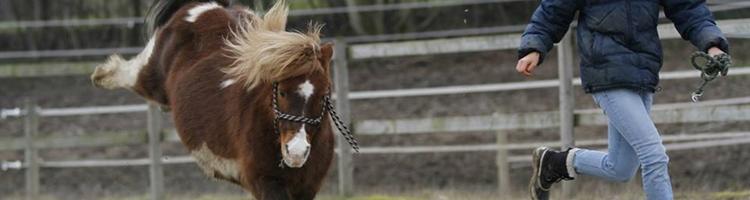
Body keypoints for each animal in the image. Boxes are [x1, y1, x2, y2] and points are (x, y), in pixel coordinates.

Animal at [91, 0, 358, 198]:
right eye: (281, 91)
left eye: (325, 93)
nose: (296, 151)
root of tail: (203, 6)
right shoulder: (266, 182)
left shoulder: (307, 187)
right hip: (152, 74)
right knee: (131, 73)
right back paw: (102, 74)